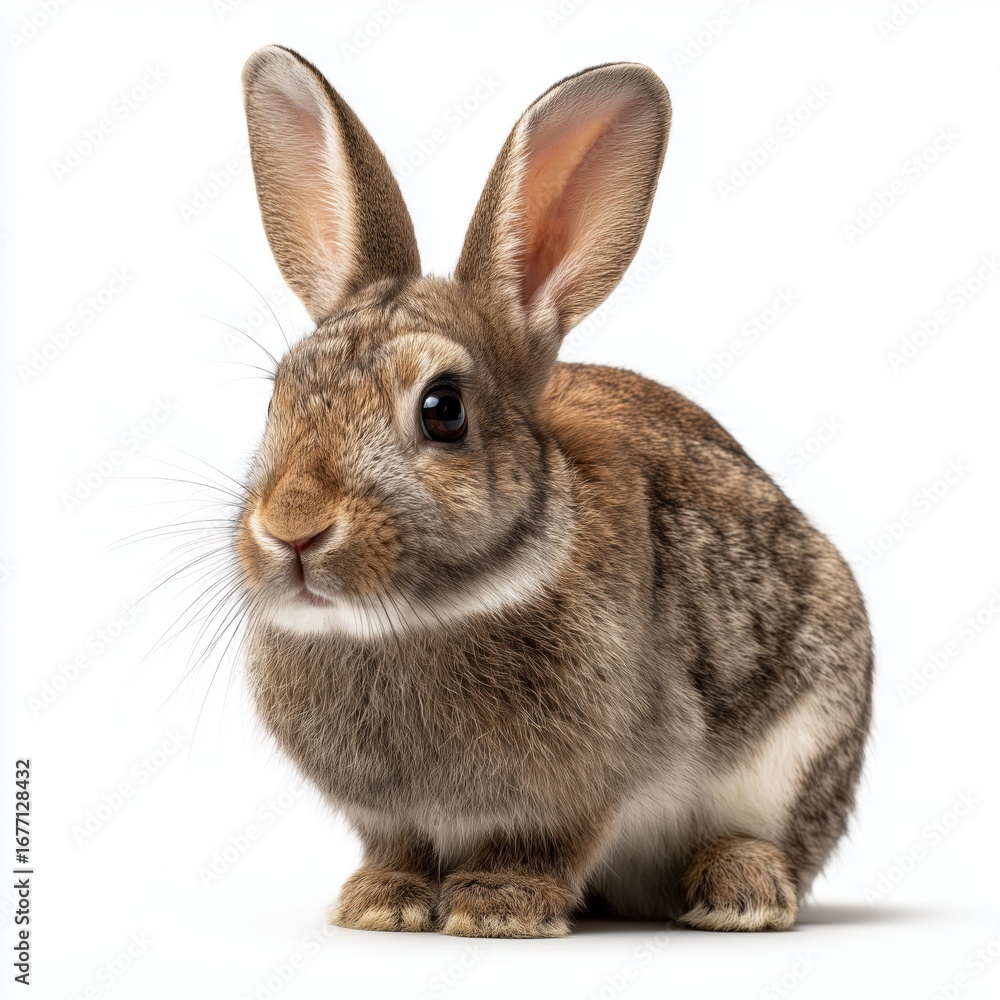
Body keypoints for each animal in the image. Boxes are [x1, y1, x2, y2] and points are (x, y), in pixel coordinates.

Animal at [235, 45, 873, 938]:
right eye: (275, 401)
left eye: (443, 410)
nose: (293, 529)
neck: (413, 617)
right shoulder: (388, 817)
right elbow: (397, 848)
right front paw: (380, 905)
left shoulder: (590, 784)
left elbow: (545, 843)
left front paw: (496, 909)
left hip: (807, 738)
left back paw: (737, 891)